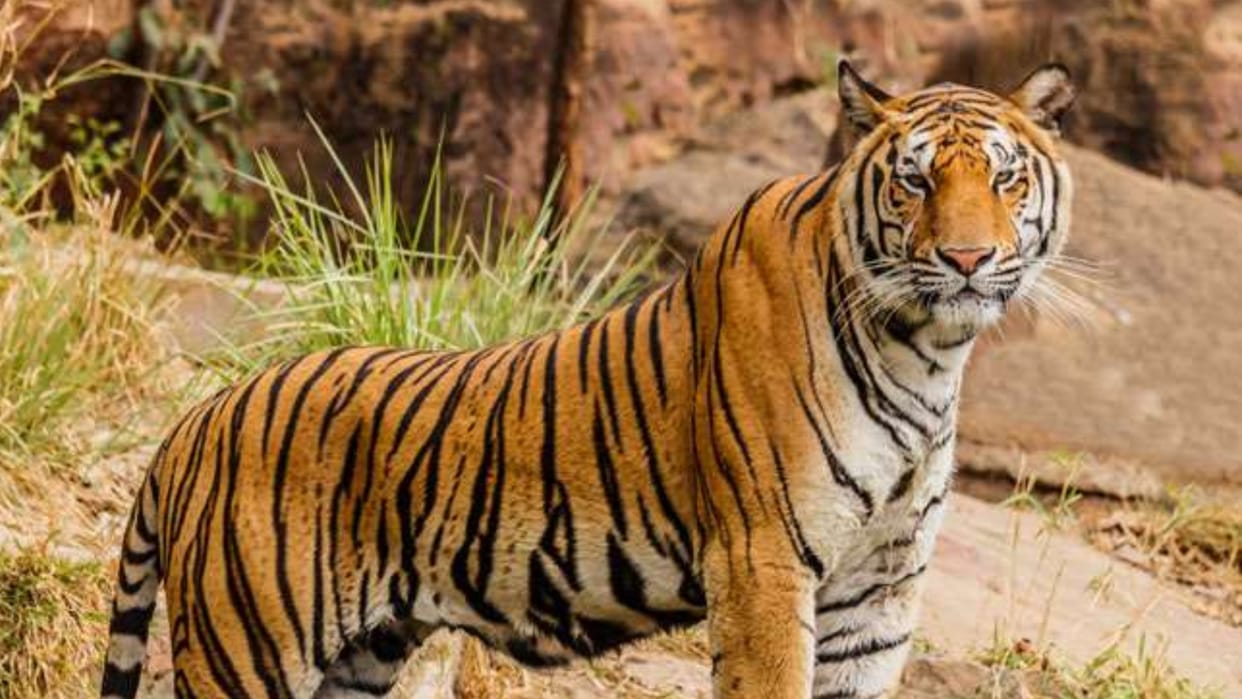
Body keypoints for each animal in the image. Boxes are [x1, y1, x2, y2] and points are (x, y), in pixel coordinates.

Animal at [100, 60, 1075, 699]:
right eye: (915, 180)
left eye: (1004, 177)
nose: (966, 259)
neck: (926, 351)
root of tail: (193, 423)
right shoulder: (763, 561)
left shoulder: (881, 587)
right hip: (248, 648)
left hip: (362, 652)